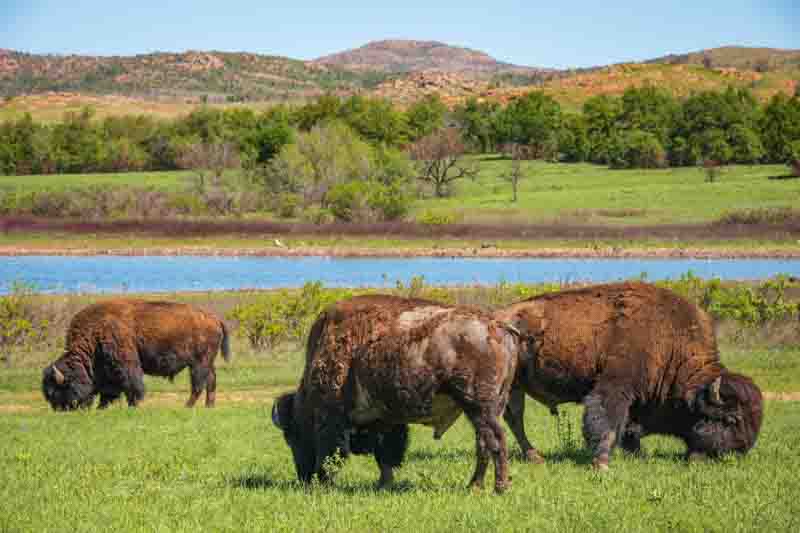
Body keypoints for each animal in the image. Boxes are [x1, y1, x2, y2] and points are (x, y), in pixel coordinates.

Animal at [42, 299, 230, 410]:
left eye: (57, 390)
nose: (61, 409)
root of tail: (215, 318)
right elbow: (109, 391)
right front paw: (102, 407)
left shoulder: (125, 364)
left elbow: (132, 384)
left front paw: (133, 405)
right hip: (207, 363)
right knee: (211, 381)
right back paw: (208, 406)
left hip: (199, 363)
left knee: (198, 385)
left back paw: (187, 406)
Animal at [272, 295, 523, 493]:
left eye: (292, 435)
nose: (304, 477)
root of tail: (497, 325)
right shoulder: (385, 420)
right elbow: (385, 455)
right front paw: (384, 484)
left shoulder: (333, 419)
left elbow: (333, 453)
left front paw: (326, 482)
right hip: (487, 408)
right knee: (483, 443)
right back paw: (474, 486)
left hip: (479, 406)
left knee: (495, 440)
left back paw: (499, 487)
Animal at [494, 281, 763, 469]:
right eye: (732, 419)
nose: (739, 453)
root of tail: (496, 318)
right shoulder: (615, 388)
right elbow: (608, 422)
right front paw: (601, 464)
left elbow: (629, 427)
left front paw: (637, 455)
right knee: (513, 419)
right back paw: (533, 456)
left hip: (514, 388)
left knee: (513, 418)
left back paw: (534, 457)